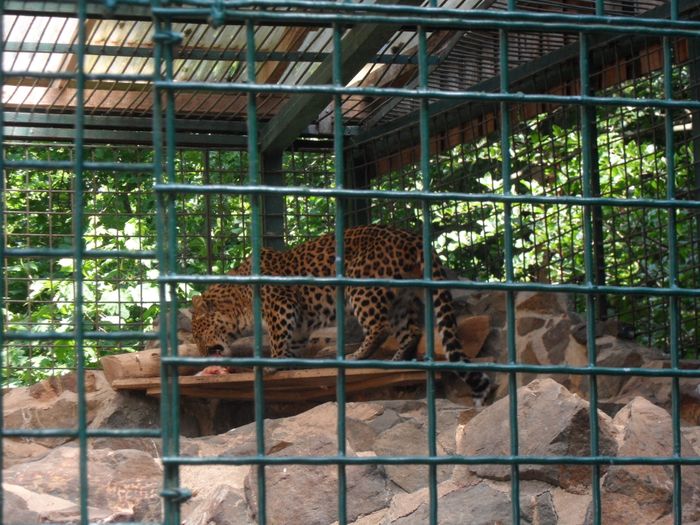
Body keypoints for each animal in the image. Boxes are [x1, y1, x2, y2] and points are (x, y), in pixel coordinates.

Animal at [189, 223, 490, 400]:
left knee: (379, 327)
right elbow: (292, 345)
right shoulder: (298, 324)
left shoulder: (281, 307)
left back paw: (356, 356)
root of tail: (412, 238)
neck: (237, 301)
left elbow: (277, 339)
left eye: (198, 336)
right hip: (401, 300)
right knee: (411, 330)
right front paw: (288, 364)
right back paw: (396, 359)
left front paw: (272, 364)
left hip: (362, 286)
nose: (202, 355)